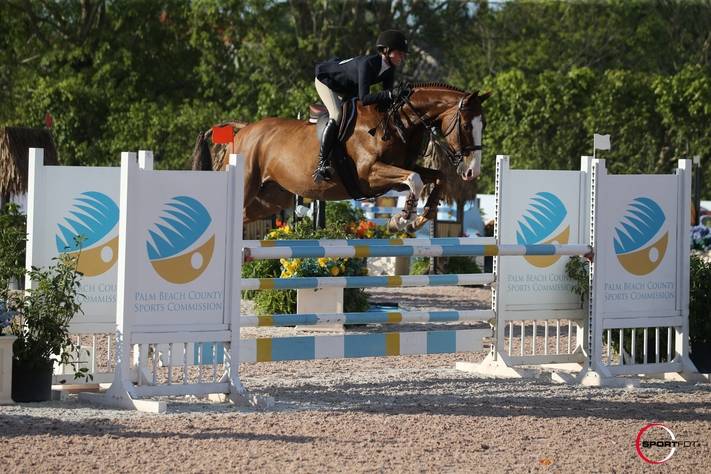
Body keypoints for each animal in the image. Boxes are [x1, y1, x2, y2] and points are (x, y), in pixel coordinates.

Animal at [191, 82, 490, 232]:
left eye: (483, 125)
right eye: (466, 126)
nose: (471, 172)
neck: (397, 120)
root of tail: (243, 130)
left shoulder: (396, 172)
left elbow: (435, 177)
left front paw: (419, 219)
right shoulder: (370, 174)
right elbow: (415, 179)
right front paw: (401, 220)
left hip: (270, 198)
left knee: (243, 216)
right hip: (247, 187)